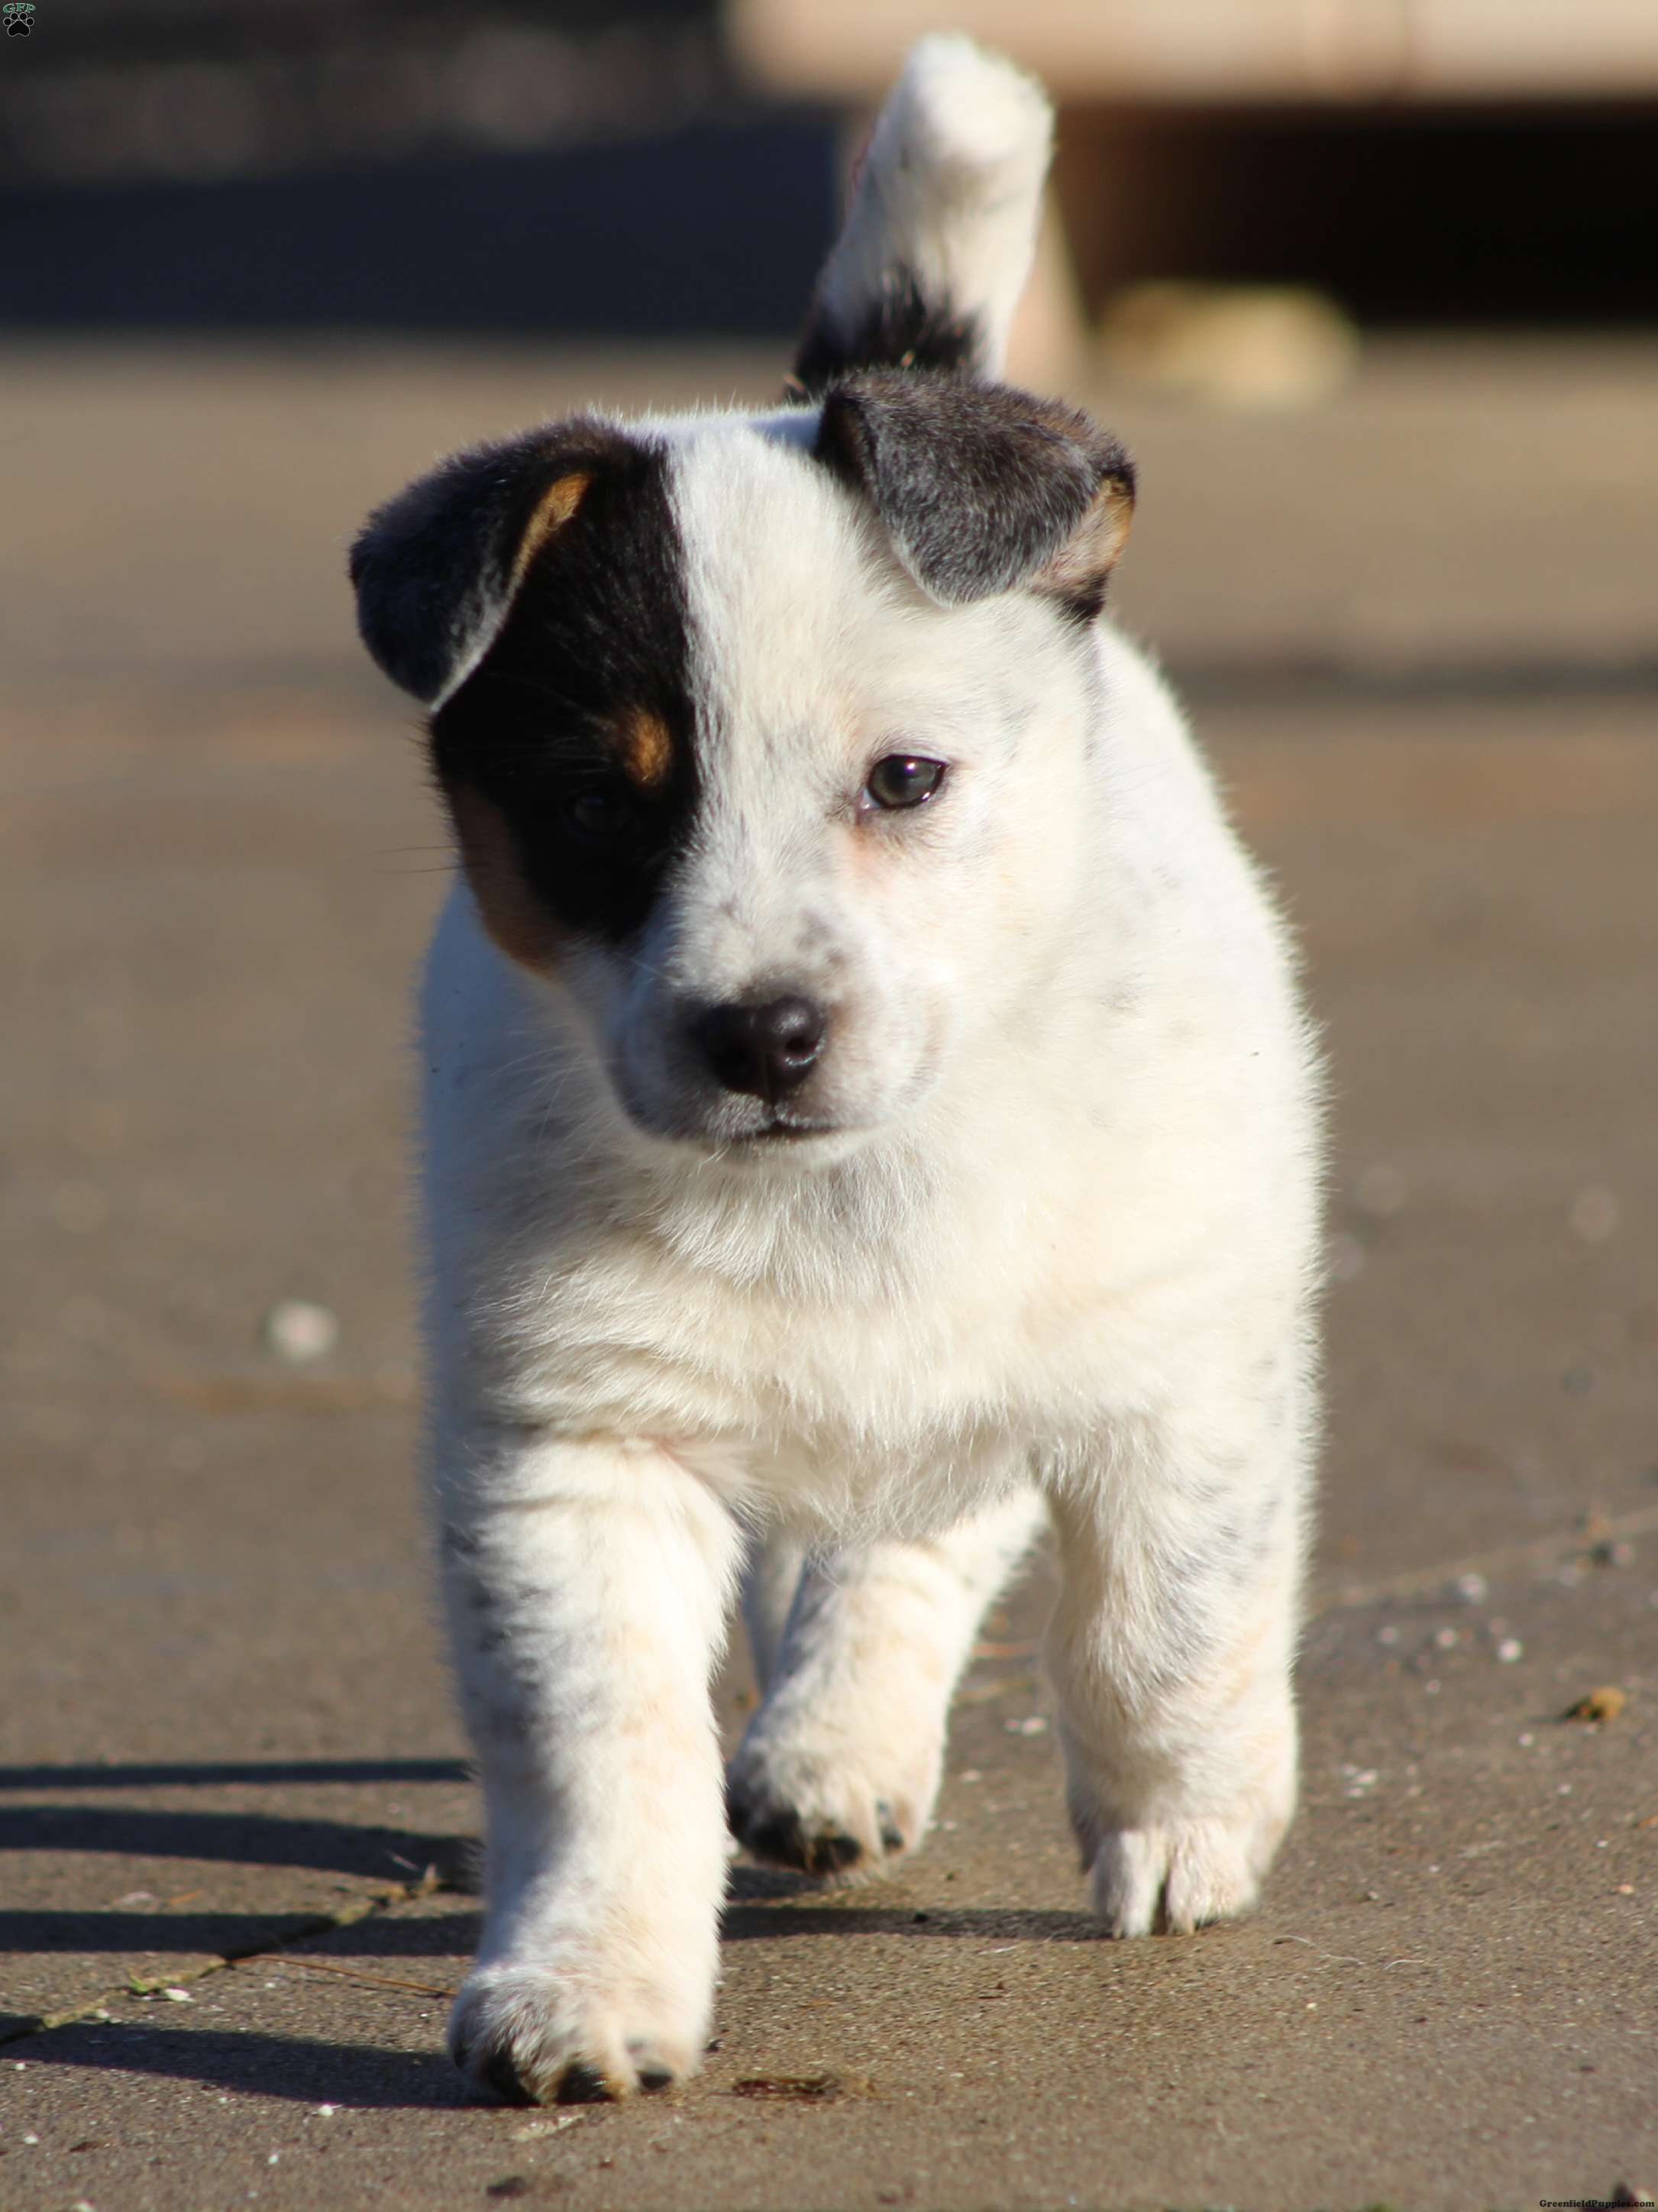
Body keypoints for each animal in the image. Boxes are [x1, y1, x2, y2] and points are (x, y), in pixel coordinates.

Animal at [350, 33, 1322, 2107]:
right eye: (593, 807)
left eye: (904, 779)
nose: (761, 1033)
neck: (844, 1191)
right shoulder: (575, 1448)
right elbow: (603, 1749)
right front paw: (586, 1981)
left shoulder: (1173, 1369)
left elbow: (1161, 1623)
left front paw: (1184, 1824)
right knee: (883, 1552)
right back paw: (828, 1752)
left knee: (941, 1533)